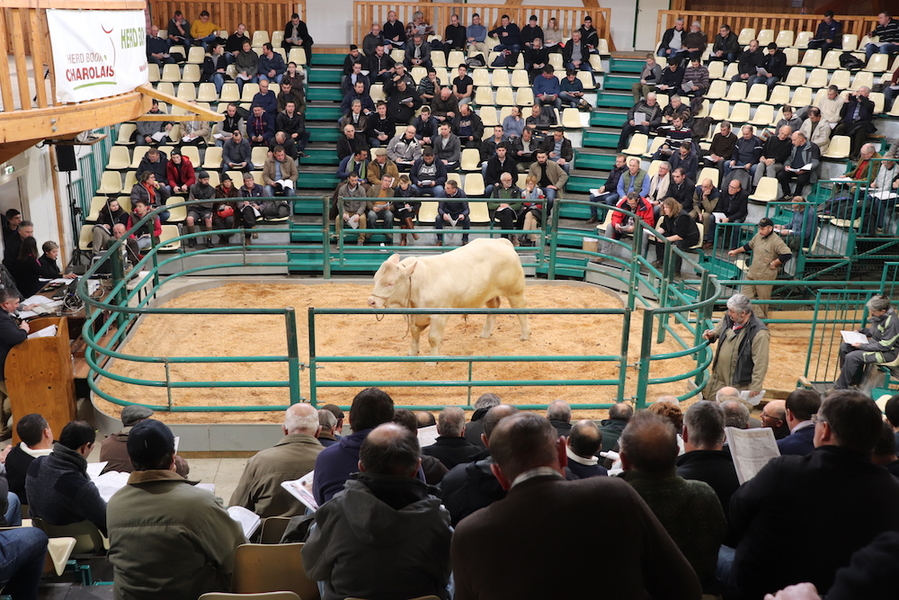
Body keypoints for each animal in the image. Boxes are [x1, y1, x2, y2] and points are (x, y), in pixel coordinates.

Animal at [368, 237, 532, 356]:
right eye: (375, 279)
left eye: (390, 283)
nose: (371, 301)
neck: (418, 285)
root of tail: (502, 242)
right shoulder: (412, 317)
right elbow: (414, 334)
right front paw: (412, 353)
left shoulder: (439, 316)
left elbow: (433, 339)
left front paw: (432, 361)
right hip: (487, 292)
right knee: (493, 307)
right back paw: (485, 333)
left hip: (515, 290)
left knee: (521, 308)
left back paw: (525, 335)